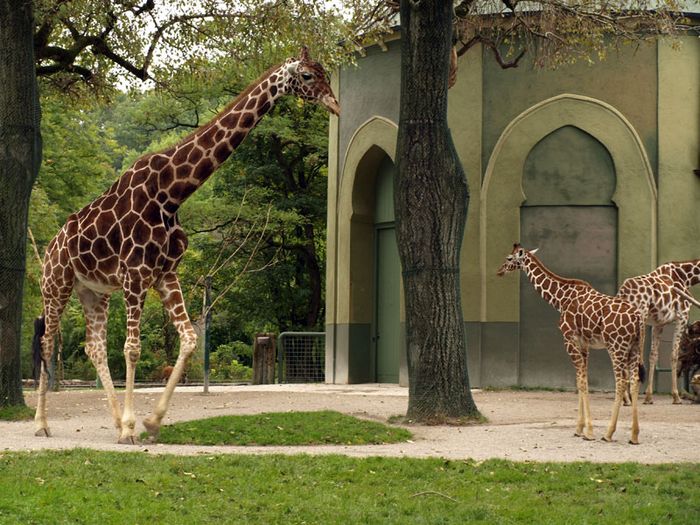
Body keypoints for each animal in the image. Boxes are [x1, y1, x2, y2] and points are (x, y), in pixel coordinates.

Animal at [32, 46, 340, 442]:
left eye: (325, 72)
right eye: (307, 76)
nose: (335, 104)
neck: (171, 192)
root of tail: (50, 246)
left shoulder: (165, 273)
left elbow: (191, 338)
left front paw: (150, 422)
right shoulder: (136, 276)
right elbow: (133, 349)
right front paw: (132, 426)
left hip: (94, 291)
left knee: (94, 346)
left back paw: (112, 420)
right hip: (56, 285)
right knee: (47, 342)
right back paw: (43, 424)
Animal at [494, 244, 644, 440]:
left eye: (509, 258)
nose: (499, 271)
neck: (560, 300)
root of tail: (638, 319)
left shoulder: (569, 339)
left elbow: (581, 382)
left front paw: (588, 431)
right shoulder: (584, 345)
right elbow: (582, 380)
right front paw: (580, 428)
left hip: (616, 347)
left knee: (621, 382)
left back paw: (608, 433)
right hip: (634, 348)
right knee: (634, 381)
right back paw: (634, 435)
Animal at [616, 260, 700, 404]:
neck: (685, 276)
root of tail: (623, 292)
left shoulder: (658, 324)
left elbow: (653, 355)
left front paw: (649, 397)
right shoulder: (682, 317)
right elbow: (674, 355)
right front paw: (676, 396)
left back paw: (626, 398)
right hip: (640, 318)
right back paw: (629, 396)